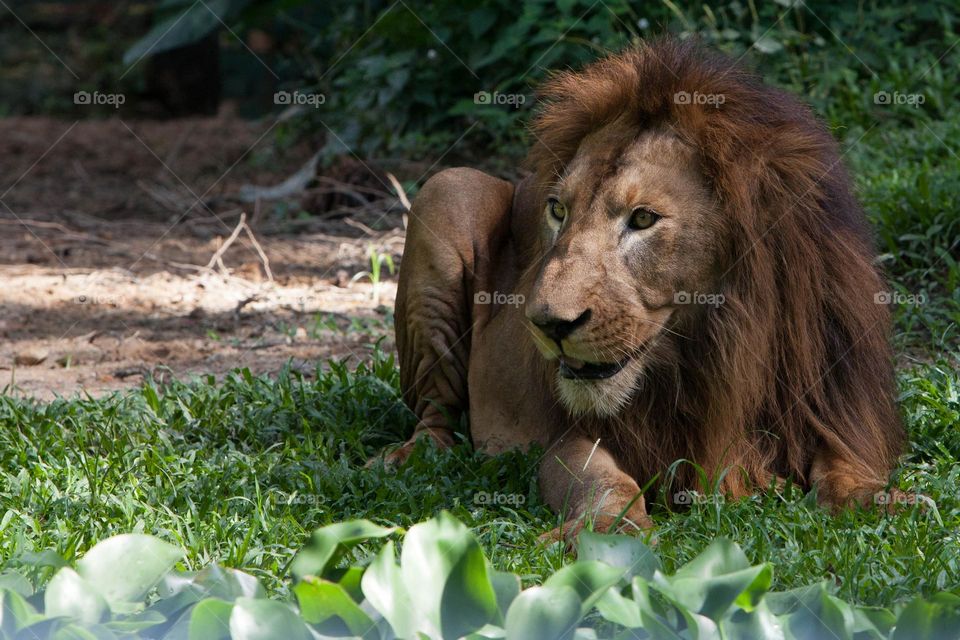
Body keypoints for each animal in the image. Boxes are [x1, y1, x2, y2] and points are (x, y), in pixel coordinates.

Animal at [384, 37, 905, 540]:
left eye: (642, 219)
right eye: (558, 211)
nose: (547, 324)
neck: (719, 346)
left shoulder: (837, 407)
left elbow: (848, 466)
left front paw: (880, 499)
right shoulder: (574, 432)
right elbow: (605, 481)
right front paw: (607, 532)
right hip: (447, 189)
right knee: (434, 411)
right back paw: (413, 458)